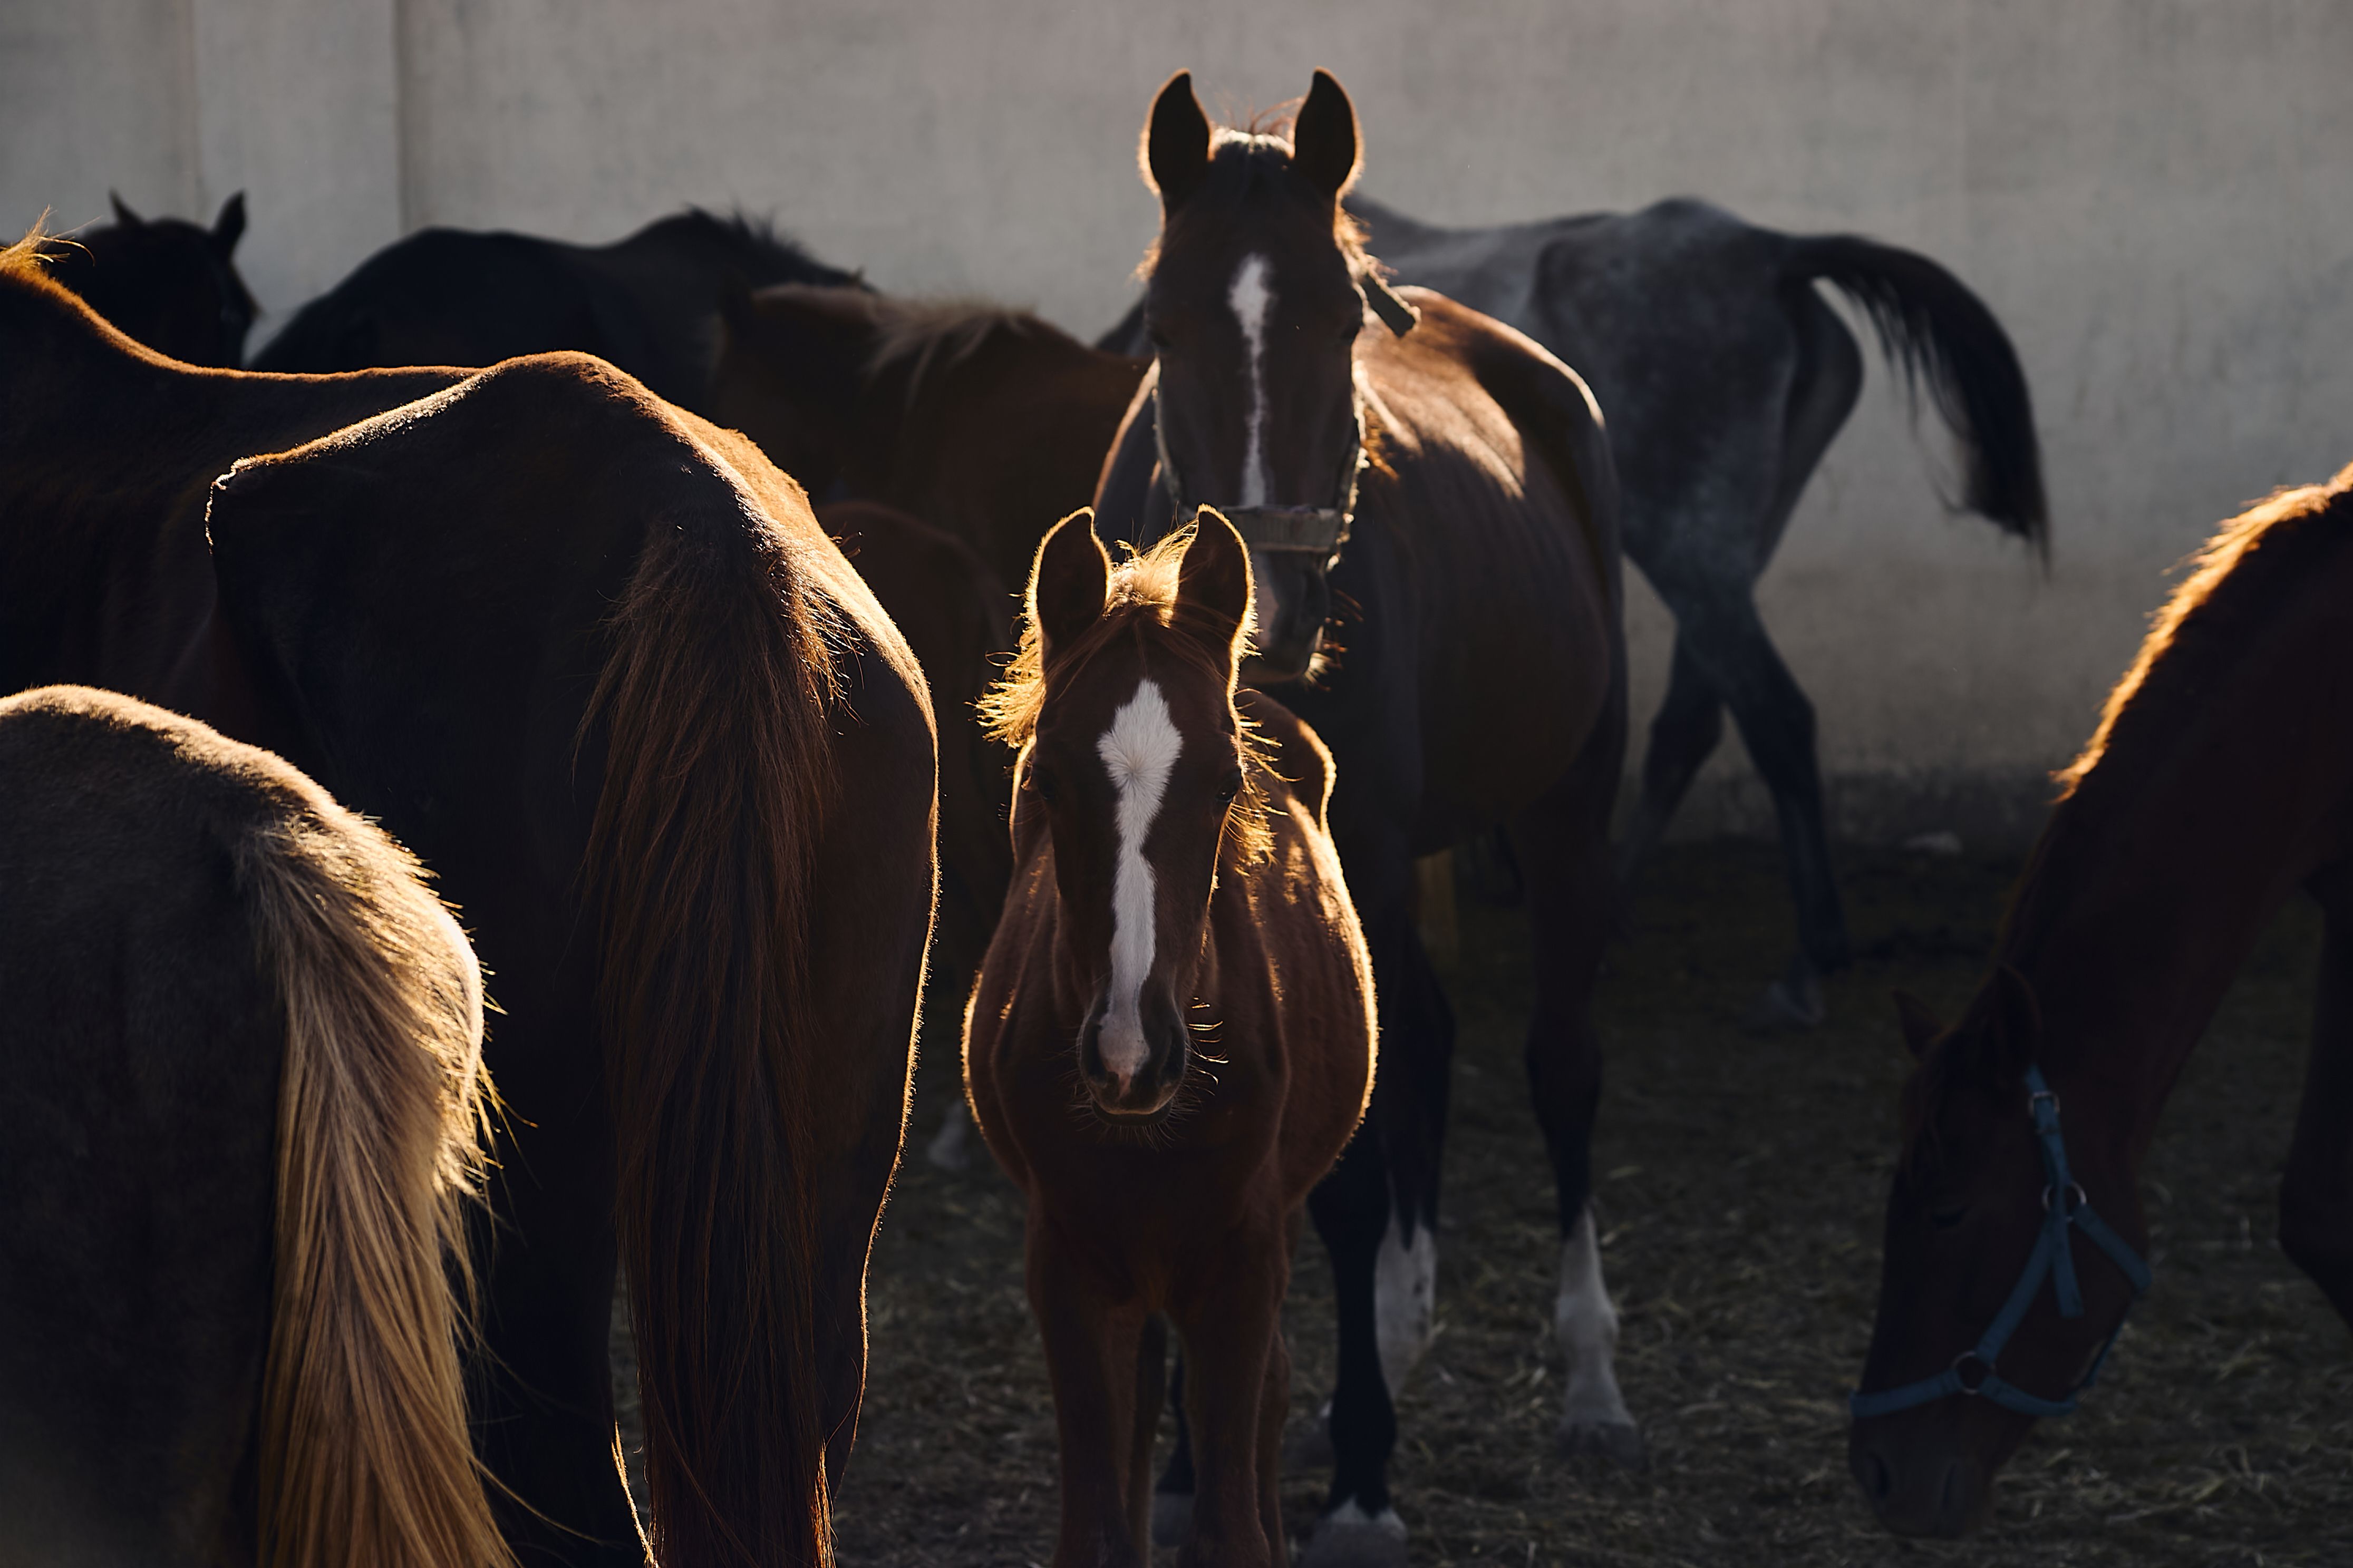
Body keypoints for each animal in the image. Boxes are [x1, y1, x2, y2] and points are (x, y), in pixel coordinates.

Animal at [965, 513, 1376, 1568]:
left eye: (1228, 781)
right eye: (1044, 778)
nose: (1129, 1055)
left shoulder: (1242, 1264)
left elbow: (1233, 1522)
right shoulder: (1066, 1264)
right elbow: (1099, 1522)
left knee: (1269, 1393)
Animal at [1092, 72, 1627, 1564]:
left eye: (1339, 322)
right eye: (1162, 325)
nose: (1272, 621)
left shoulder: (1371, 862)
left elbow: (1334, 1171)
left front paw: (1361, 1483)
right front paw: (1182, 1461)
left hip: (1567, 808)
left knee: (1558, 1066)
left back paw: (1587, 1373)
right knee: (1424, 1046)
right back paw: (1393, 1320)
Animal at [1101, 196, 2047, 1027]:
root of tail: (1774, 254)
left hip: (1690, 545)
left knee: (1773, 714)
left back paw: (1801, 963)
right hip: (1721, 549)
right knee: (1694, 720)